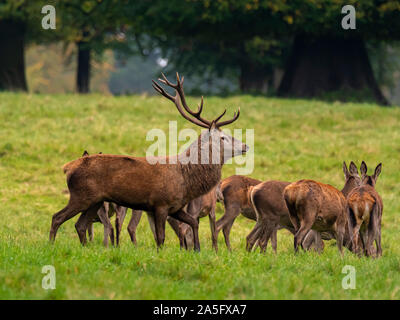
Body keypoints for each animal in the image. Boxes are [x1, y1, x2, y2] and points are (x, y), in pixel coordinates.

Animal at [48, 73, 245, 252]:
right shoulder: (160, 204)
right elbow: (161, 237)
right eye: (223, 137)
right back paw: (50, 246)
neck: (186, 179)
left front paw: (196, 249)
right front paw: (161, 254)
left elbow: (192, 223)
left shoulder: (176, 207)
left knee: (80, 225)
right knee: (57, 217)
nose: (245, 146)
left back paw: (85, 249)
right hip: (80, 195)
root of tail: (67, 168)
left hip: (95, 200)